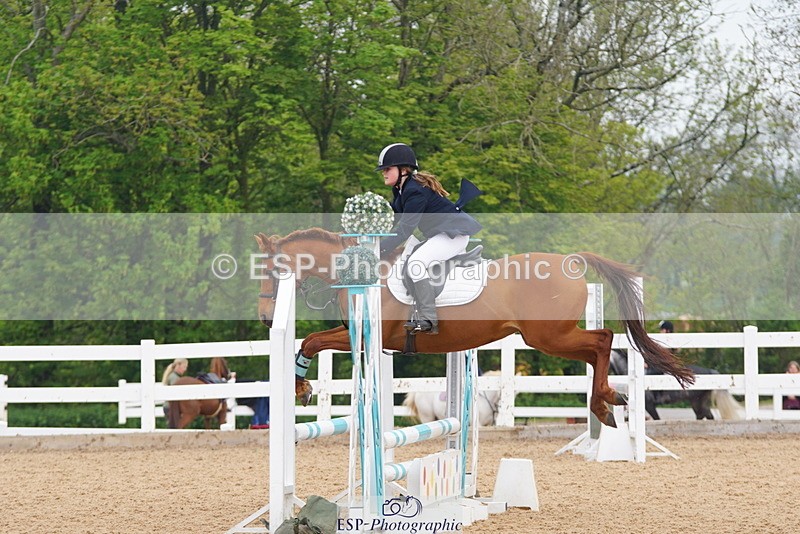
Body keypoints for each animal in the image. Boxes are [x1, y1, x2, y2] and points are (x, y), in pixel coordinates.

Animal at [255, 228, 695, 428]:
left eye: (272, 271)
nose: (264, 317)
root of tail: (570, 259)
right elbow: (312, 340)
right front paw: (302, 386)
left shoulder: (365, 336)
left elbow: (311, 341)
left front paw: (301, 386)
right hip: (551, 337)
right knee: (595, 350)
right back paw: (606, 400)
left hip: (548, 336)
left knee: (602, 340)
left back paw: (603, 403)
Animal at [609, 350, 743, 420]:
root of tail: (711, 372)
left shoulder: (649, 405)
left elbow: (657, 418)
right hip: (697, 402)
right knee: (705, 415)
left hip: (699, 402)